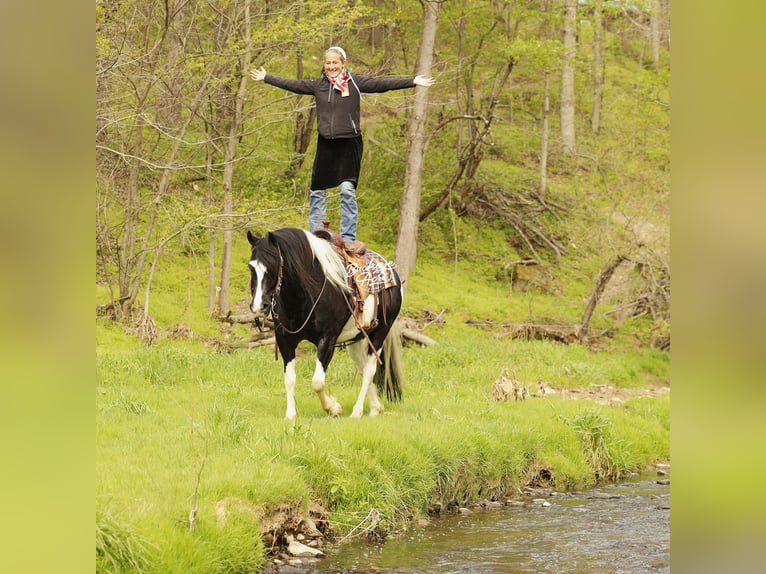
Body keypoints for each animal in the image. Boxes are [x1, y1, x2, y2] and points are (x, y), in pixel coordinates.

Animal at [246, 227, 405, 419]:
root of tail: (392, 271)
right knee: (362, 367)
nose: (258, 305)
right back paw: (375, 407)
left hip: (379, 334)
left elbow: (317, 382)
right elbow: (289, 379)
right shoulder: (285, 339)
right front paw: (290, 415)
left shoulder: (327, 339)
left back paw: (358, 411)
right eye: (251, 266)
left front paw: (333, 408)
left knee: (368, 371)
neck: (303, 294)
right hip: (357, 339)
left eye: (273, 264)